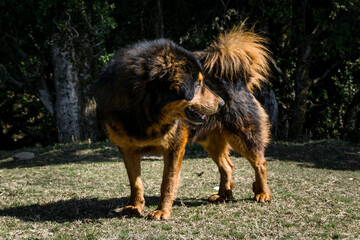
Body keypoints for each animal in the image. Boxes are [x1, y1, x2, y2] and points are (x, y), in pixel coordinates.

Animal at [95, 38, 225, 220]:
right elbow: (135, 182)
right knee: (228, 166)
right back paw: (224, 195)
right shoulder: (127, 149)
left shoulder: (175, 146)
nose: (222, 103)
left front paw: (162, 210)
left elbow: (168, 181)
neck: (144, 111)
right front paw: (135, 206)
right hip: (212, 143)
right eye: (198, 85)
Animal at [190, 24, 272, 203]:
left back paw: (263, 193)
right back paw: (223, 195)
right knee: (227, 167)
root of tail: (238, 80)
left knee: (260, 163)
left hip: (243, 135)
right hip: (212, 140)